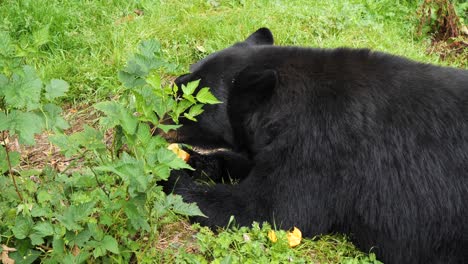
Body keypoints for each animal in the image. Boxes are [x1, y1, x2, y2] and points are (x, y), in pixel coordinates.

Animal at [165, 27, 468, 262]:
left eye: (187, 102)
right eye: (177, 86)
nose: (158, 125)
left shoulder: (322, 149)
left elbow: (265, 207)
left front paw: (169, 175)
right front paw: (195, 161)